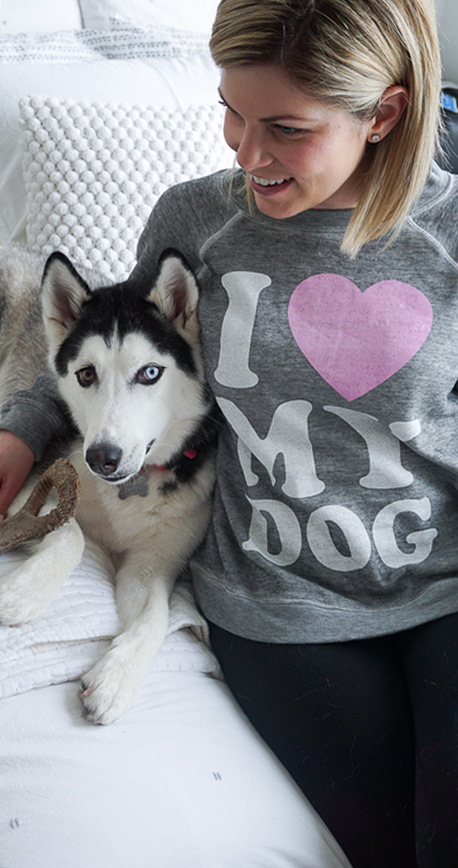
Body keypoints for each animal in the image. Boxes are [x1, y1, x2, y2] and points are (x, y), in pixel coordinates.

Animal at [0, 246, 218, 724]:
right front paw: (23, 592)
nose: (101, 457)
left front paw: (118, 677)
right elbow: (72, 536)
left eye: (150, 373)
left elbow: (157, 614)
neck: (129, 493)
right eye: (86, 375)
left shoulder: (151, 563)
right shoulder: (37, 484)